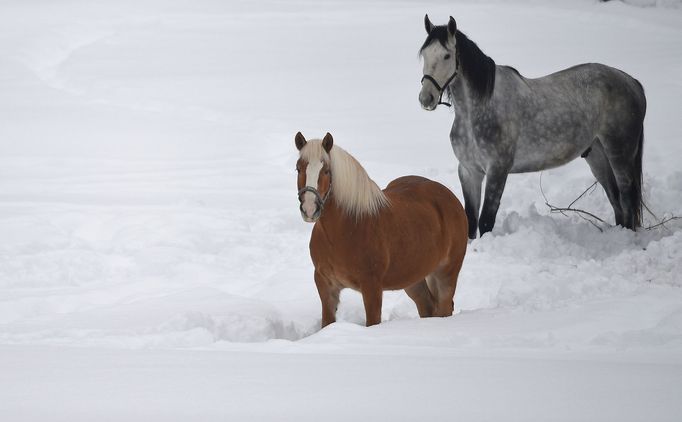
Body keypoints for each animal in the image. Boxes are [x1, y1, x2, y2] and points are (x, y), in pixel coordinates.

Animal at [292, 131, 468, 326]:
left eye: (326, 171)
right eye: (298, 168)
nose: (309, 209)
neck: (344, 230)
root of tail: (450, 197)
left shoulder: (372, 287)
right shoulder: (326, 286)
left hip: (446, 274)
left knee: (444, 307)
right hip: (413, 279)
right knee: (427, 306)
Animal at [418, 15, 644, 237]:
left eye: (447, 56)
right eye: (424, 55)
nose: (426, 98)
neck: (479, 110)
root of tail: (632, 82)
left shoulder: (497, 171)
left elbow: (485, 222)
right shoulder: (468, 171)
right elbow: (470, 221)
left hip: (619, 154)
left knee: (625, 197)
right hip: (597, 154)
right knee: (615, 199)